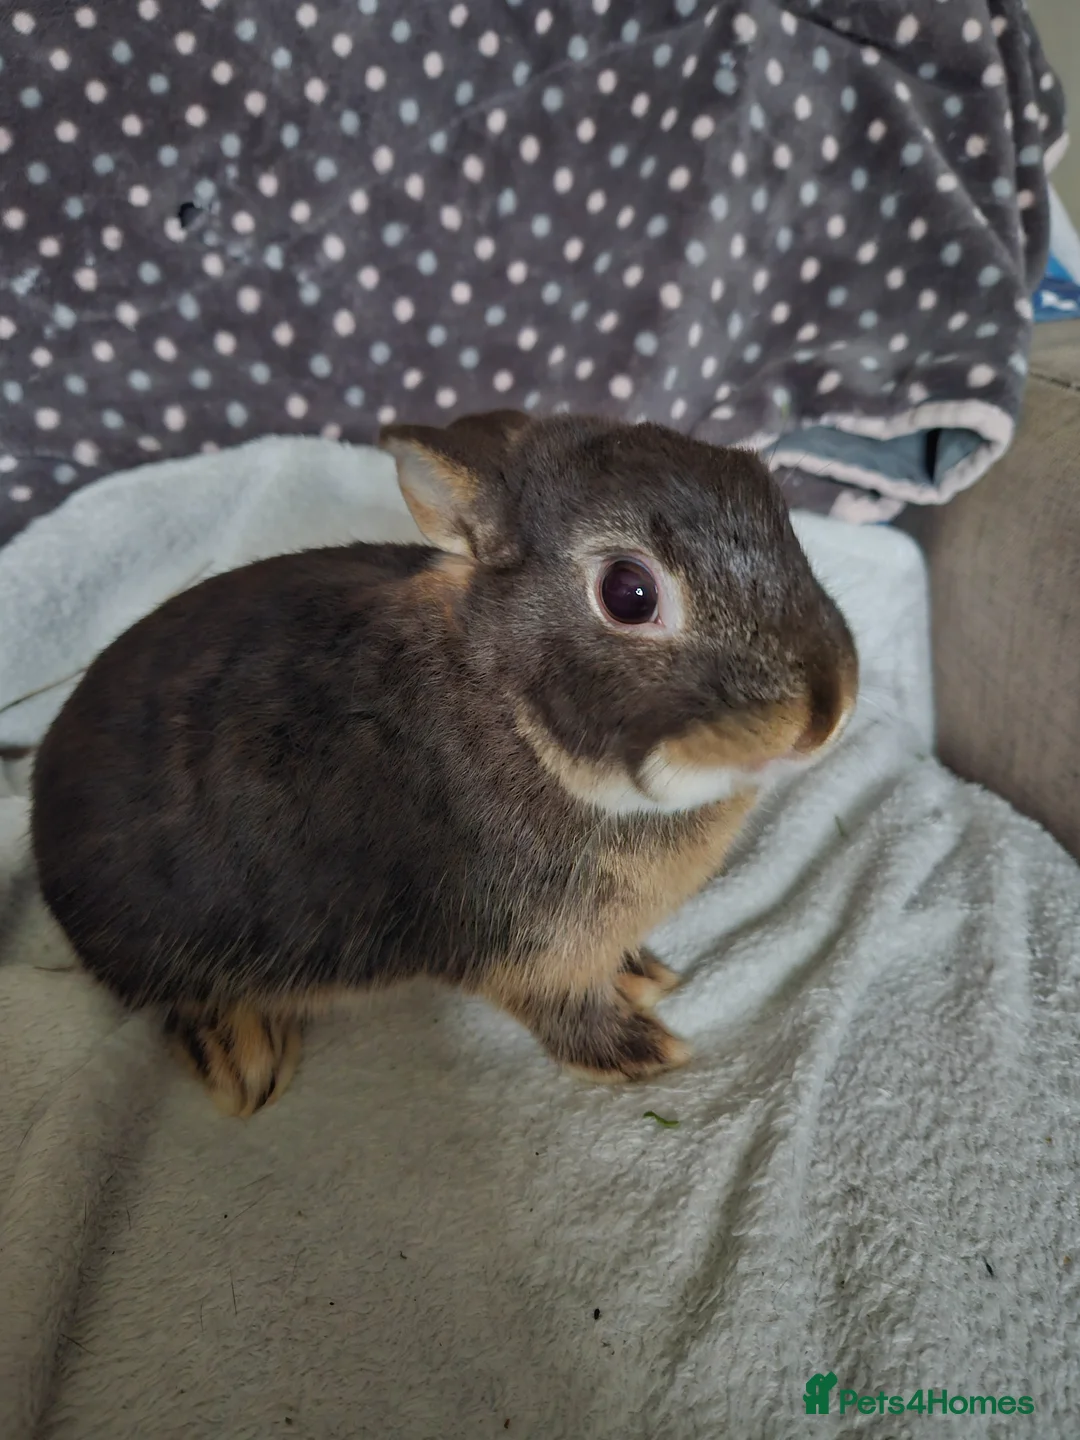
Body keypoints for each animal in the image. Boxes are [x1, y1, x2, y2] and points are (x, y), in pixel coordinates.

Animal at [30, 410, 858, 1116]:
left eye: (780, 515)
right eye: (629, 593)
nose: (825, 711)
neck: (515, 716)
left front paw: (642, 975)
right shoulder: (527, 954)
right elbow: (564, 1009)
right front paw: (641, 1052)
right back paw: (247, 1061)